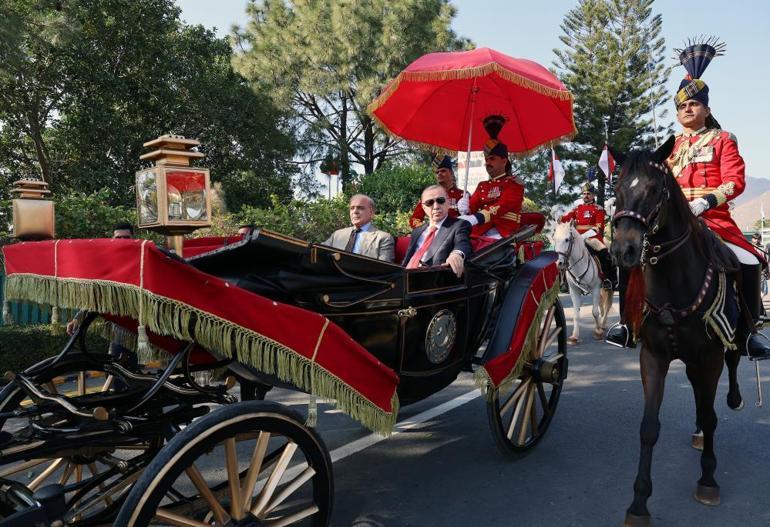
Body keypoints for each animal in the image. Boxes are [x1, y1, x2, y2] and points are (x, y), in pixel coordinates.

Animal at [608, 137, 740, 527]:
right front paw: (638, 502)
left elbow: (712, 416)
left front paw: (708, 479)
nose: (623, 250)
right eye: (616, 190)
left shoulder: (710, 356)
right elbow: (649, 427)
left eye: (655, 189)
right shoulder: (653, 356)